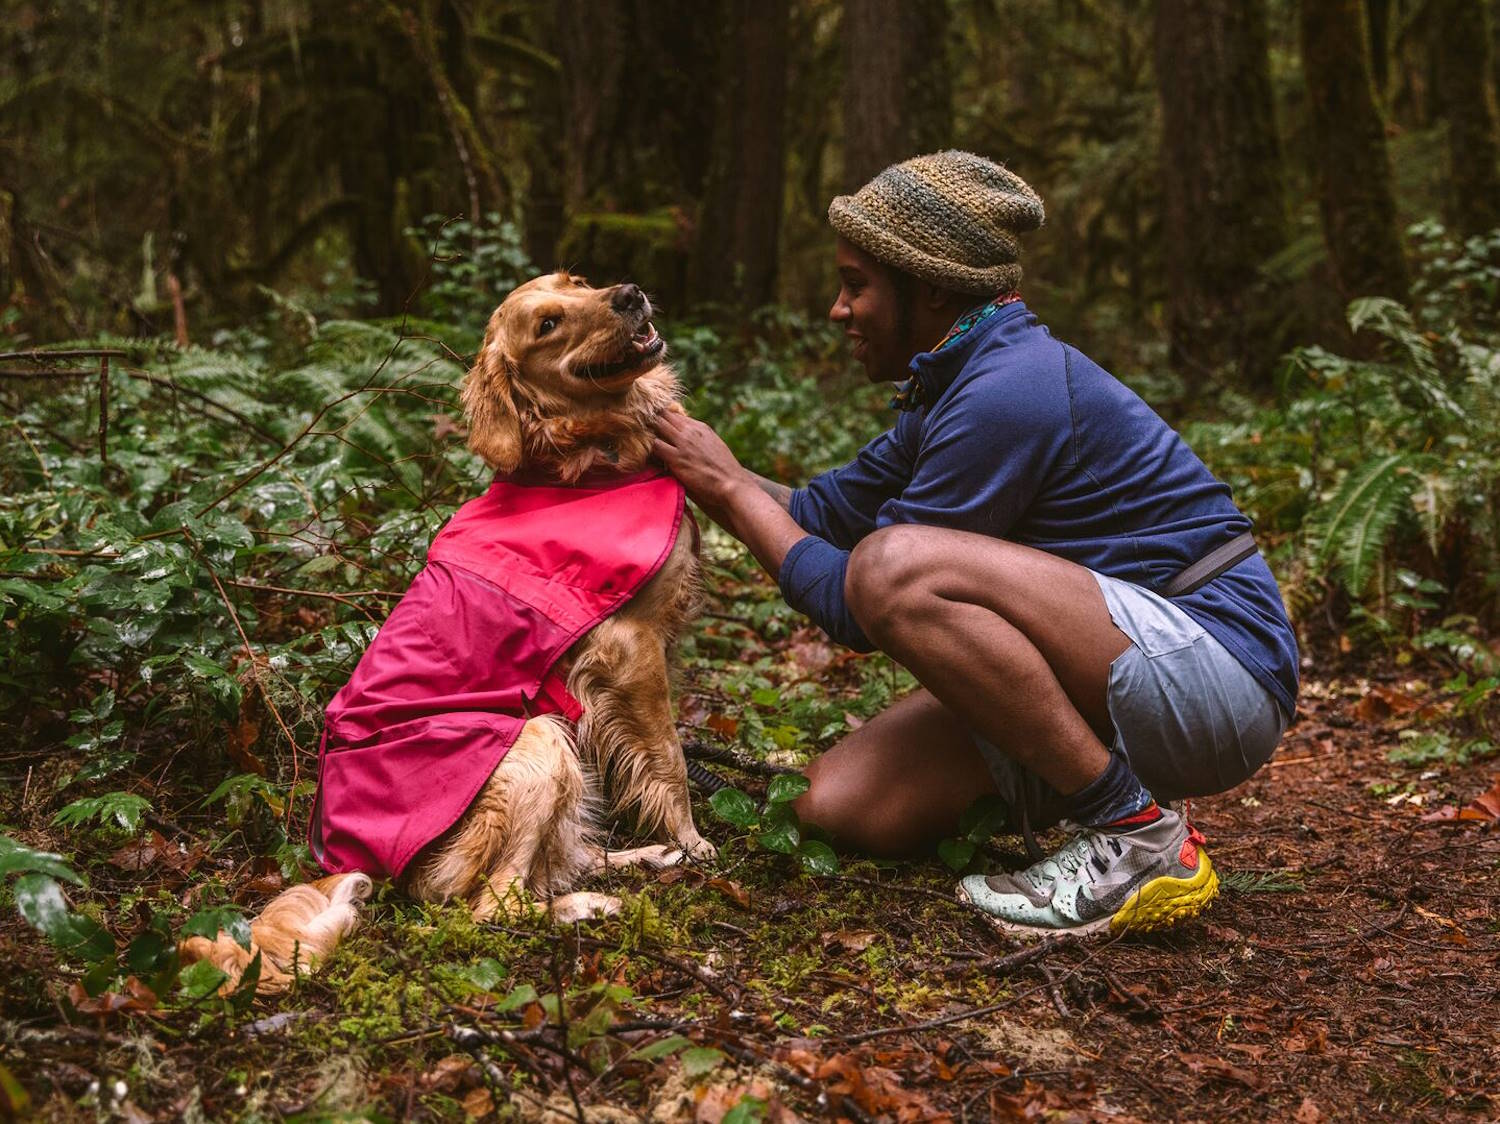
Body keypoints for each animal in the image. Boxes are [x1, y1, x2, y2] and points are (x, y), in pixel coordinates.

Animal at [180, 271, 708, 990]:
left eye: (577, 282)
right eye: (546, 325)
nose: (628, 294)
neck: (583, 456)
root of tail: (347, 858)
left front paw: (673, 844)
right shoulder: (629, 647)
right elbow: (670, 759)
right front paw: (694, 839)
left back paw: (632, 862)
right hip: (537, 744)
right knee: (490, 907)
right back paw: (593, 904)